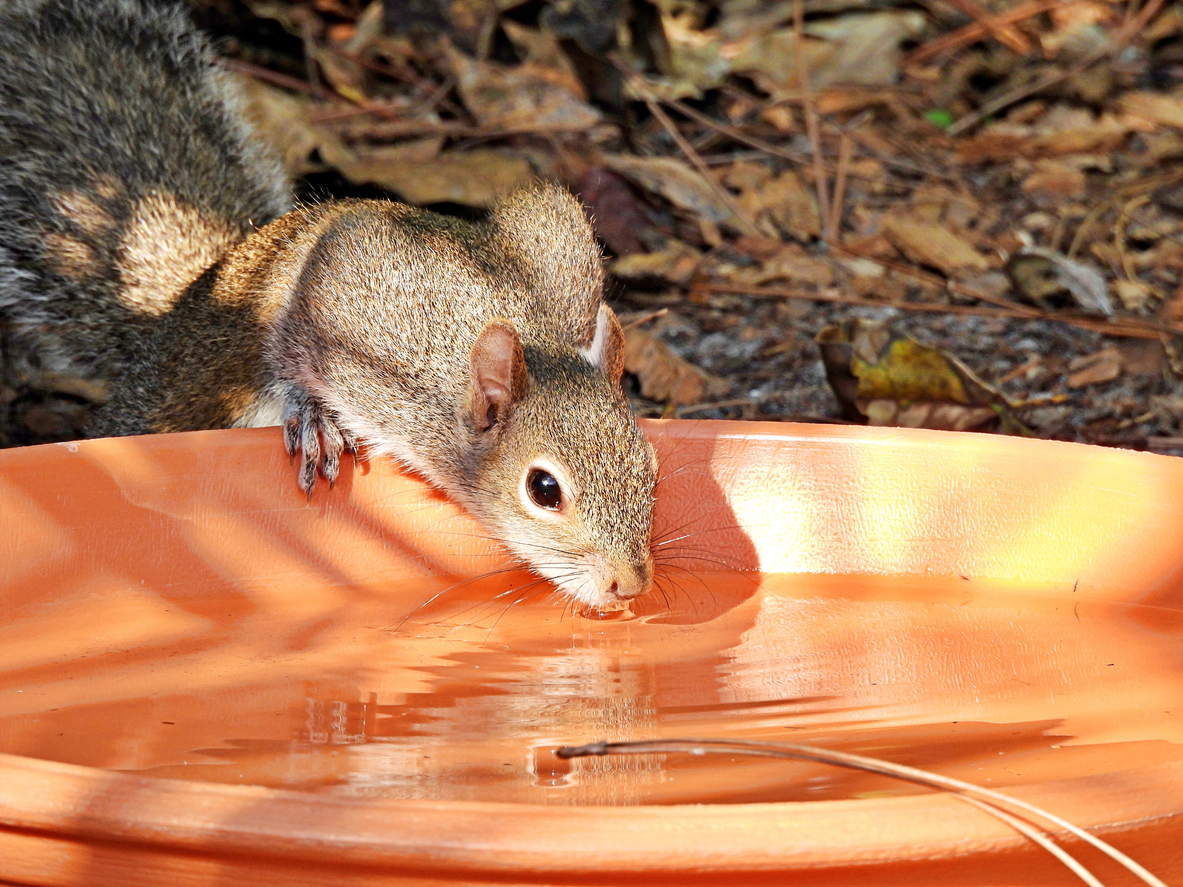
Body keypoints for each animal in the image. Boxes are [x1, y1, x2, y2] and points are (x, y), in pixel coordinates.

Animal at [0, 0, 657, 610]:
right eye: (544, 489)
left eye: (649, 462)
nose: (629, 585)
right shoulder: (352, 298)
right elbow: (295, 343)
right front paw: (313, 413)